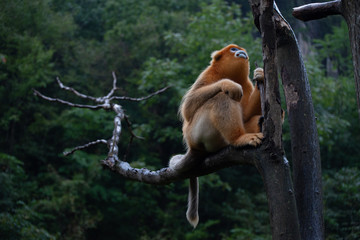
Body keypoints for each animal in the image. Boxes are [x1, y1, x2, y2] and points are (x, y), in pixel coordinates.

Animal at [169, 44, 264, 228]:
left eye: (242, 50)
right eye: (233, 49)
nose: (241, 53)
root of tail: (191, 145)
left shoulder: (246, 84)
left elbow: (246, 115)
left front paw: (261, 75)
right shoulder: (208, 74)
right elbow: (188, 108)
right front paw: (229, 84)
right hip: (196, 132)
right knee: (221, 97)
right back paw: (239, 138)